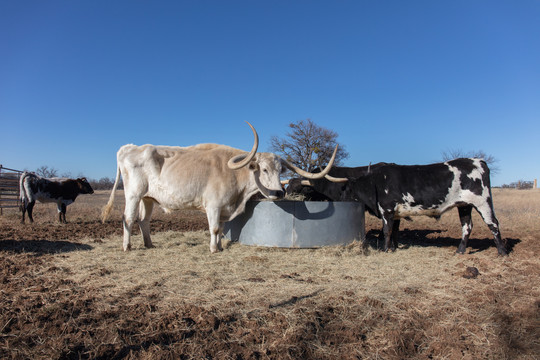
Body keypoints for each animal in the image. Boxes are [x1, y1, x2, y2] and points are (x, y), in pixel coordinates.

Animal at [101, 122, 342, 252]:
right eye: (264, 170)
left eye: (281, 170)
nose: (279, 192)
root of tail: (130, 147)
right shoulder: (213, 206)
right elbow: (215, 228)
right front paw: (213, 249)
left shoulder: (225, 208)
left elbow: (222, 228)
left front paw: (219, 246)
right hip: (133, 195)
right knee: (128, 218)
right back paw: (127, 247)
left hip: (148, 198)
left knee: (143, 220)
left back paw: (149, 244)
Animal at [302, 158, 508, 256]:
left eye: (346, 190)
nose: (340, 200)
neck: (375, 183)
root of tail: (478, 161)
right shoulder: (397, 214)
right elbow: (394, 232)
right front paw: (393, 247)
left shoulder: (387, 210)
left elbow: (386, 231)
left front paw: (385, 250)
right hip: (464, 205)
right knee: (467, 226)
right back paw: (460, 250)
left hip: (482, 202)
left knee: (493, 224)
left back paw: (502, 251)